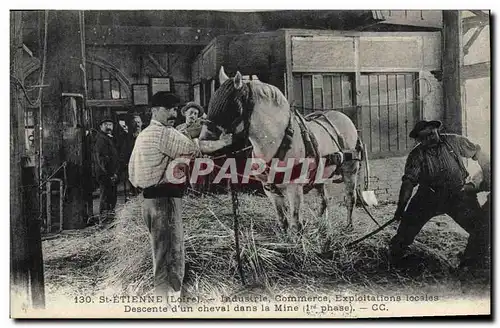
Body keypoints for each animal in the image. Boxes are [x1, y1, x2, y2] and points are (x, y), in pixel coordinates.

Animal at [199, 67, 364, 236]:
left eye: (233, 107)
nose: (204, 142)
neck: (279, 142)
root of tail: (344, 118)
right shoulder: (269, 189)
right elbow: (282, 219)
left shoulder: (294, 188)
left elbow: (296, 222)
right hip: (321, 175)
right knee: (323, 200)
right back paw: (322, 226)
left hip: (350, 170)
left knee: (350, 198)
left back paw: (348, 226)